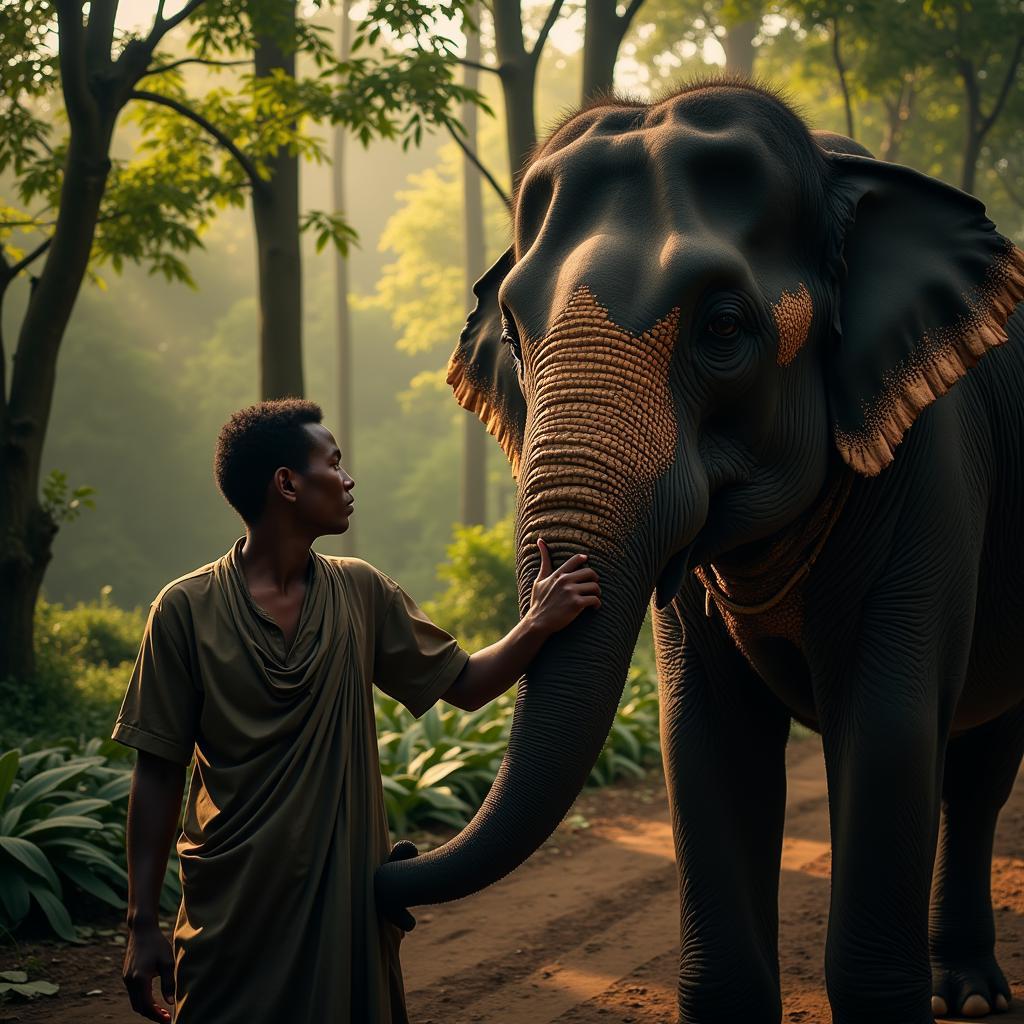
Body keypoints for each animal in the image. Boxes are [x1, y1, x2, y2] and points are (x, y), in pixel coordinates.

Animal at [376, 79, 1024, 1024]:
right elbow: (703, 737)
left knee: (979, 765)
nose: (389, 863)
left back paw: (969, 996)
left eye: (722, 327)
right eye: (515, 331)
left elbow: (890, 728)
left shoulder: (931, 466)